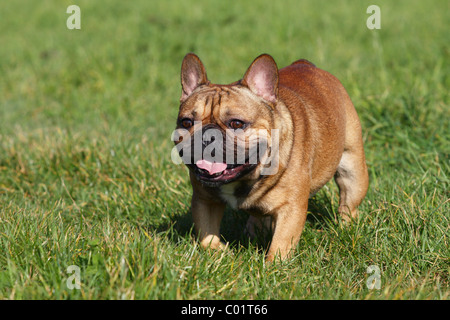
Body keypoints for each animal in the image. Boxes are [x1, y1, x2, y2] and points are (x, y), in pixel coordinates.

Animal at [174, 53, 368, 262]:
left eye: (236, 123)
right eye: (186, 122)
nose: (207, 136)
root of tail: (305, 64)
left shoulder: (291, 209)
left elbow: (281, 244)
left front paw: (273, 266)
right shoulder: (204, 200)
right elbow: (206, 235)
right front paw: (219, 253)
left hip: (352, 170)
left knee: (348, 203)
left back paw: (345, 228)